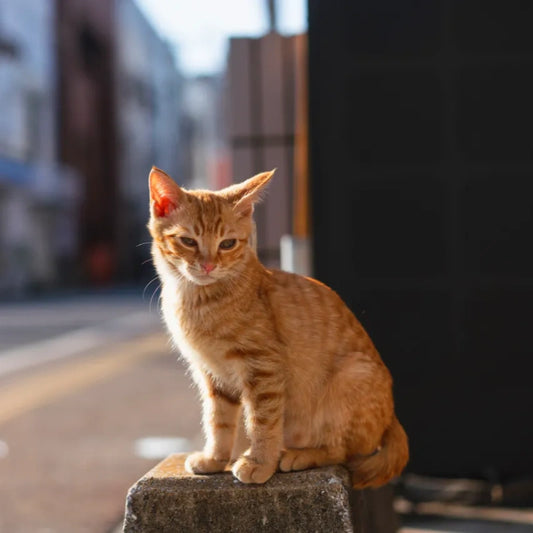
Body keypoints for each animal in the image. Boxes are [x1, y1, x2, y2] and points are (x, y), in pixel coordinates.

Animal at [145, 166, 408, 486]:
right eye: (188, 241)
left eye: (227, 244)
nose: (208, 266)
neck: (198, 300)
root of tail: (392, 416)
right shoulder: (213, 376)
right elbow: (218, 421)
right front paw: (214, 458)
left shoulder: (263, 367)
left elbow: (263, 420)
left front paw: (259, 462)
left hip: (351, 375)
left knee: (341, 452)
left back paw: (298, 455)